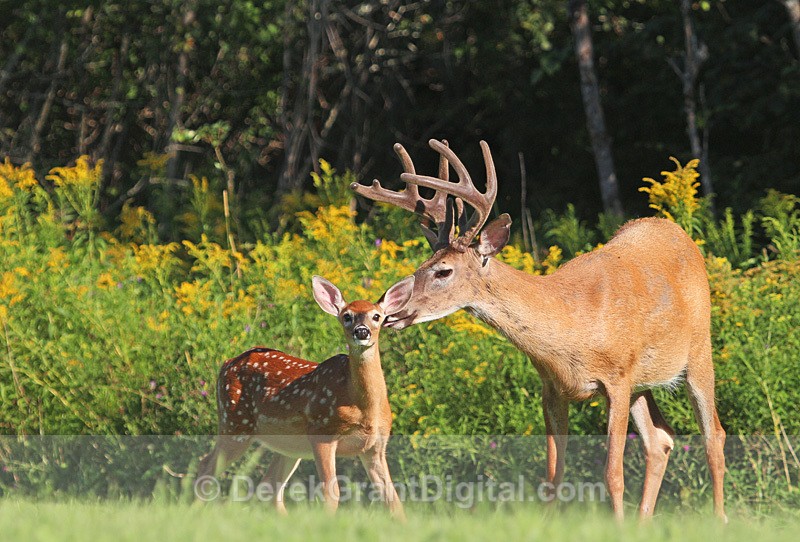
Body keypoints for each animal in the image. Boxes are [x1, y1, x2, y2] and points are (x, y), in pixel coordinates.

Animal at [197, 275, 414, 520]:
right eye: (346, 316)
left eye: (377, 316)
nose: (362, 331)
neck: (364, 407)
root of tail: (226, 363)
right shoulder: (322, 433)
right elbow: (331, 493)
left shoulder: (375, 446)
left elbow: (392, 499)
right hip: (235, 423)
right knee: (206, 466)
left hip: (288, 445)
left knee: (269, 486)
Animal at [351, 139, 726, 522]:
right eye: (421, 264)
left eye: (443, 271)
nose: (389, 311)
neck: (571, 330)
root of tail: (678, 232)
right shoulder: (553, 387)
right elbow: (553, 474)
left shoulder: (617, 379)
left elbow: (613, 474)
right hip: (643, 383)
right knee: (660, 438)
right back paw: (644, 522)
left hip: (698, 351)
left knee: (714, 434)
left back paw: (719, 518)